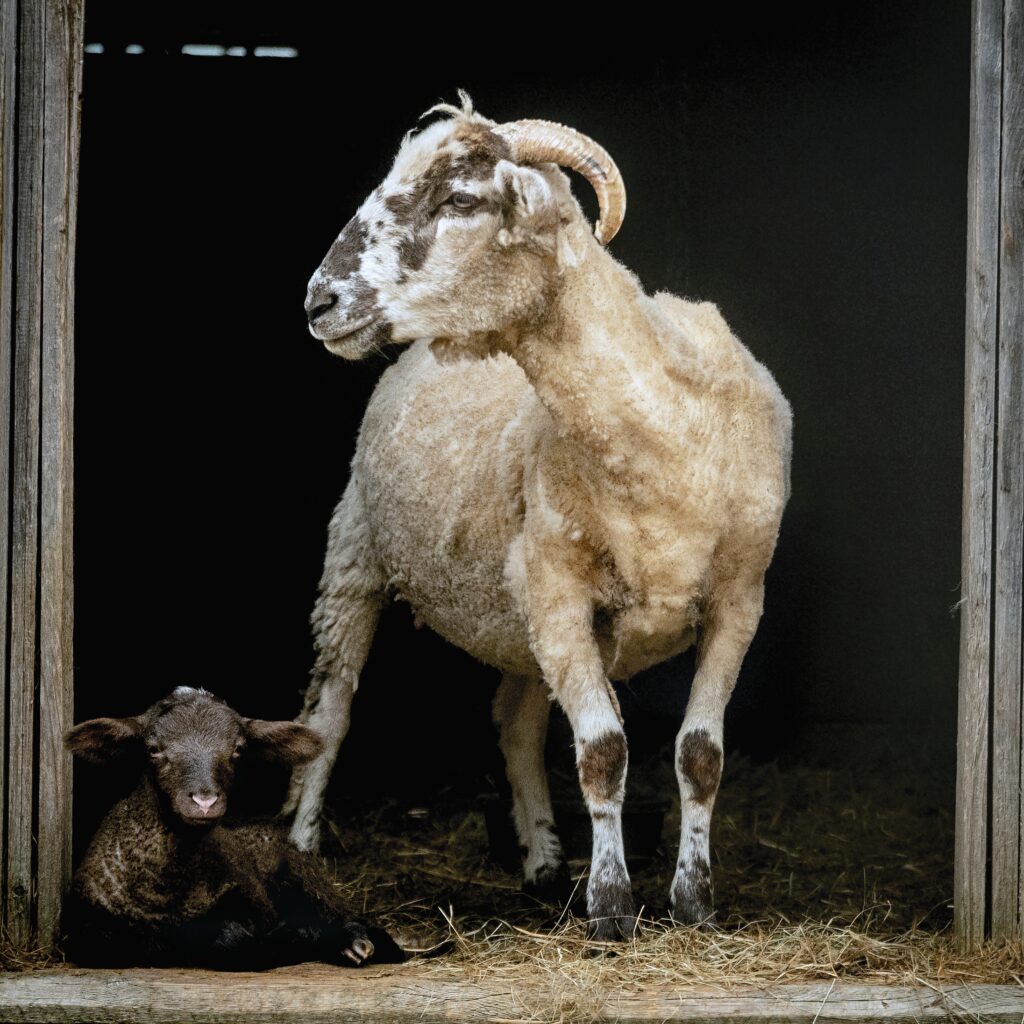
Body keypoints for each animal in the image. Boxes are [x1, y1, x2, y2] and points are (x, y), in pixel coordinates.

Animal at [63, 686, 403, 968]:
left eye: (238, 749)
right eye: (153, 749)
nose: (204, 801)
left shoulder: (251, 900)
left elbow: (233, 937)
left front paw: (292, 937)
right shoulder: (88, 928)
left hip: (307, 877)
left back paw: (357, 943)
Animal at [285, 91, 792, 940]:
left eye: (459, 199)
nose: (319, 303)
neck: (662, 434)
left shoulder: (738, 598)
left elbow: (699, 756)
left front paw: (693, 904)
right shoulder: (559, 592)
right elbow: (603, 753)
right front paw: (612, 910)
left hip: (510, 609)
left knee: (514, 722)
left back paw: (546, 864)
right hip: (355, 552)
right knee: (331, 711)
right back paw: (300, 850)